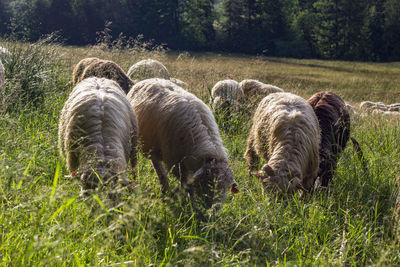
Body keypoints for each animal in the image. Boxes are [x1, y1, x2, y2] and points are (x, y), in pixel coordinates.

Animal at [127, 77, 238, 209]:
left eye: (226, 188)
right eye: (209, 184)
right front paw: (191, 205)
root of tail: (148, 79)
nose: (214, 211)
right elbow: (187, 184)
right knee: (136, 163)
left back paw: (164, 187)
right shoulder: (174, 162)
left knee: (157, 165)